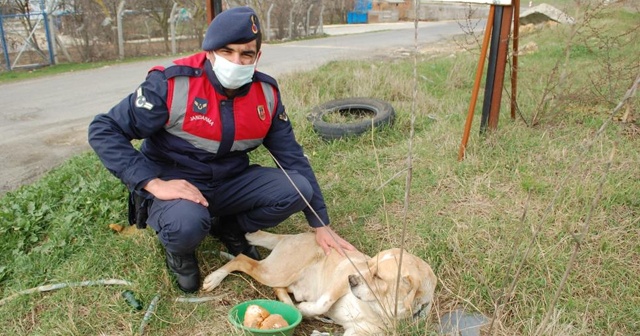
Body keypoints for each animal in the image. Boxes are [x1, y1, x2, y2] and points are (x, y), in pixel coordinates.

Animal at [202, 230, 438, 334]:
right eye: (369, 265)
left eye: (378, 276)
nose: (353, 280)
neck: (378, 310)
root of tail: (292, 236)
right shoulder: (342, 276)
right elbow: (323, 303)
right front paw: (306, 310)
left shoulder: (357, 332)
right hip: (276, 272)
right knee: (241, 259)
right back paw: (214, 279)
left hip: (285, 279)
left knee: (278, 289)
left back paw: (289, 304)